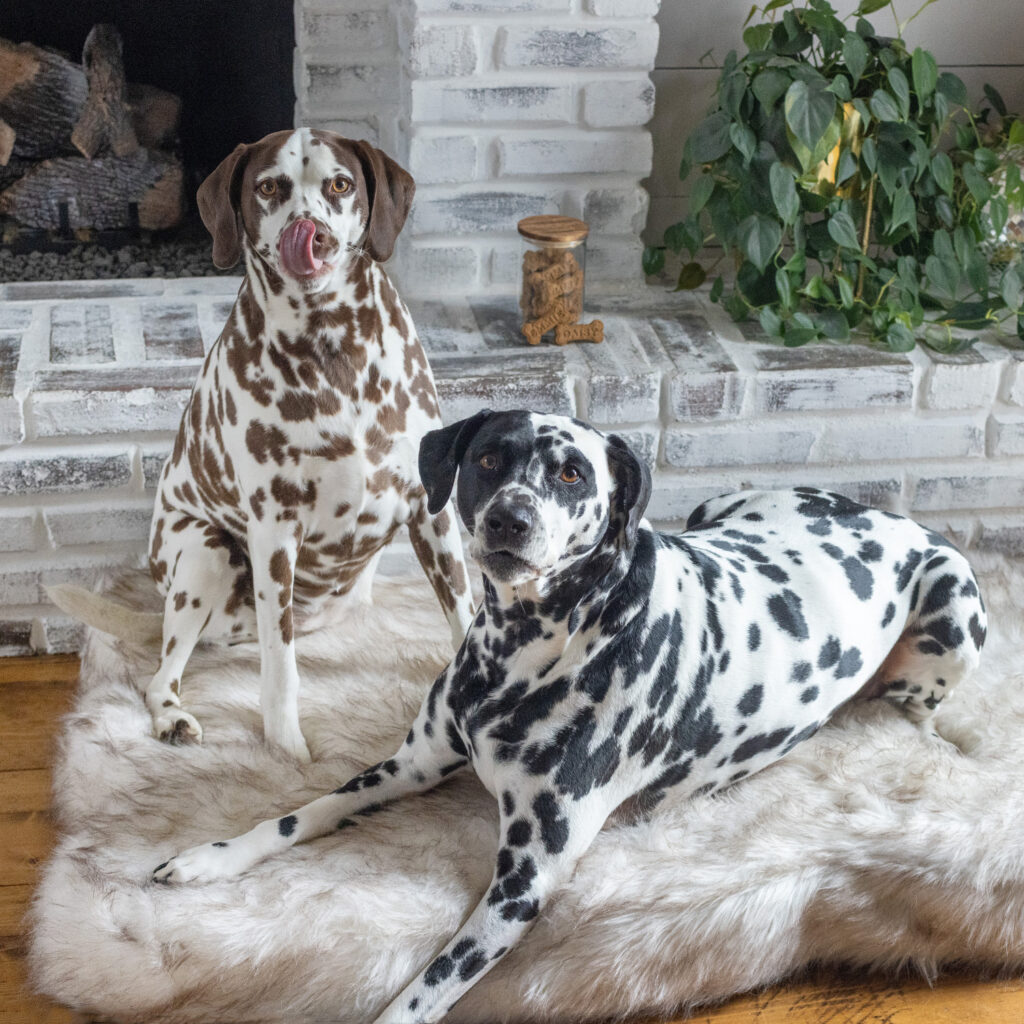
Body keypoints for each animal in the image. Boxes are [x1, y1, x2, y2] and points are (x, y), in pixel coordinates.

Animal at [146, 128, 473, 761]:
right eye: (269, 187)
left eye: (340, 184)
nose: (311, 234)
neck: (333, 344)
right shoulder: (276, 533)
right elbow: (281, 666)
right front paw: (287, 751)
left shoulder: (431, 511)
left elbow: (465, 619)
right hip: (203, 554)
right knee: (162, 674)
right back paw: (173, 716)